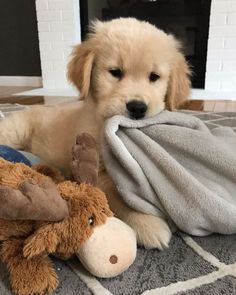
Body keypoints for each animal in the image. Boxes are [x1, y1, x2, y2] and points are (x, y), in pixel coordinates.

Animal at [0, 17, 190, 250]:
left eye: (154, 77)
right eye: (115, 72)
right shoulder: (94, 169)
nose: (137, 108)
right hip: (14, 132)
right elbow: (117, 196)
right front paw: (148, 223)